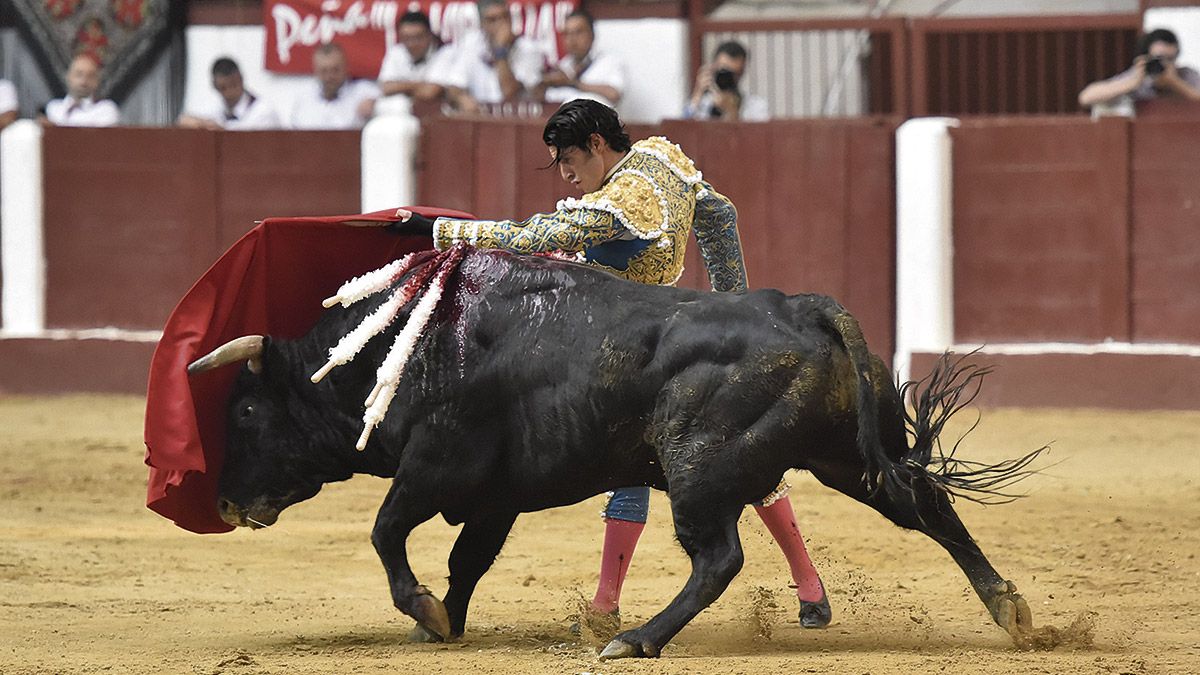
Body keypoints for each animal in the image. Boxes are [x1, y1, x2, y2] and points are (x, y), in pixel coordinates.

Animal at [189, 247, 1041, 658]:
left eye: (247, 408)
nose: (224, 498)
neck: (409, 346)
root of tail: (802, 306)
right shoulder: (495, 495)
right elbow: (467, 560)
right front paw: (443, 622)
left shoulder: (435, 465)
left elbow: (385, 530)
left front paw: (423, 609)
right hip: (846, 454)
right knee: (925, 502)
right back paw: (1011, 610)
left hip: (698, 467)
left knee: (718, 557)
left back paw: (636, 639)